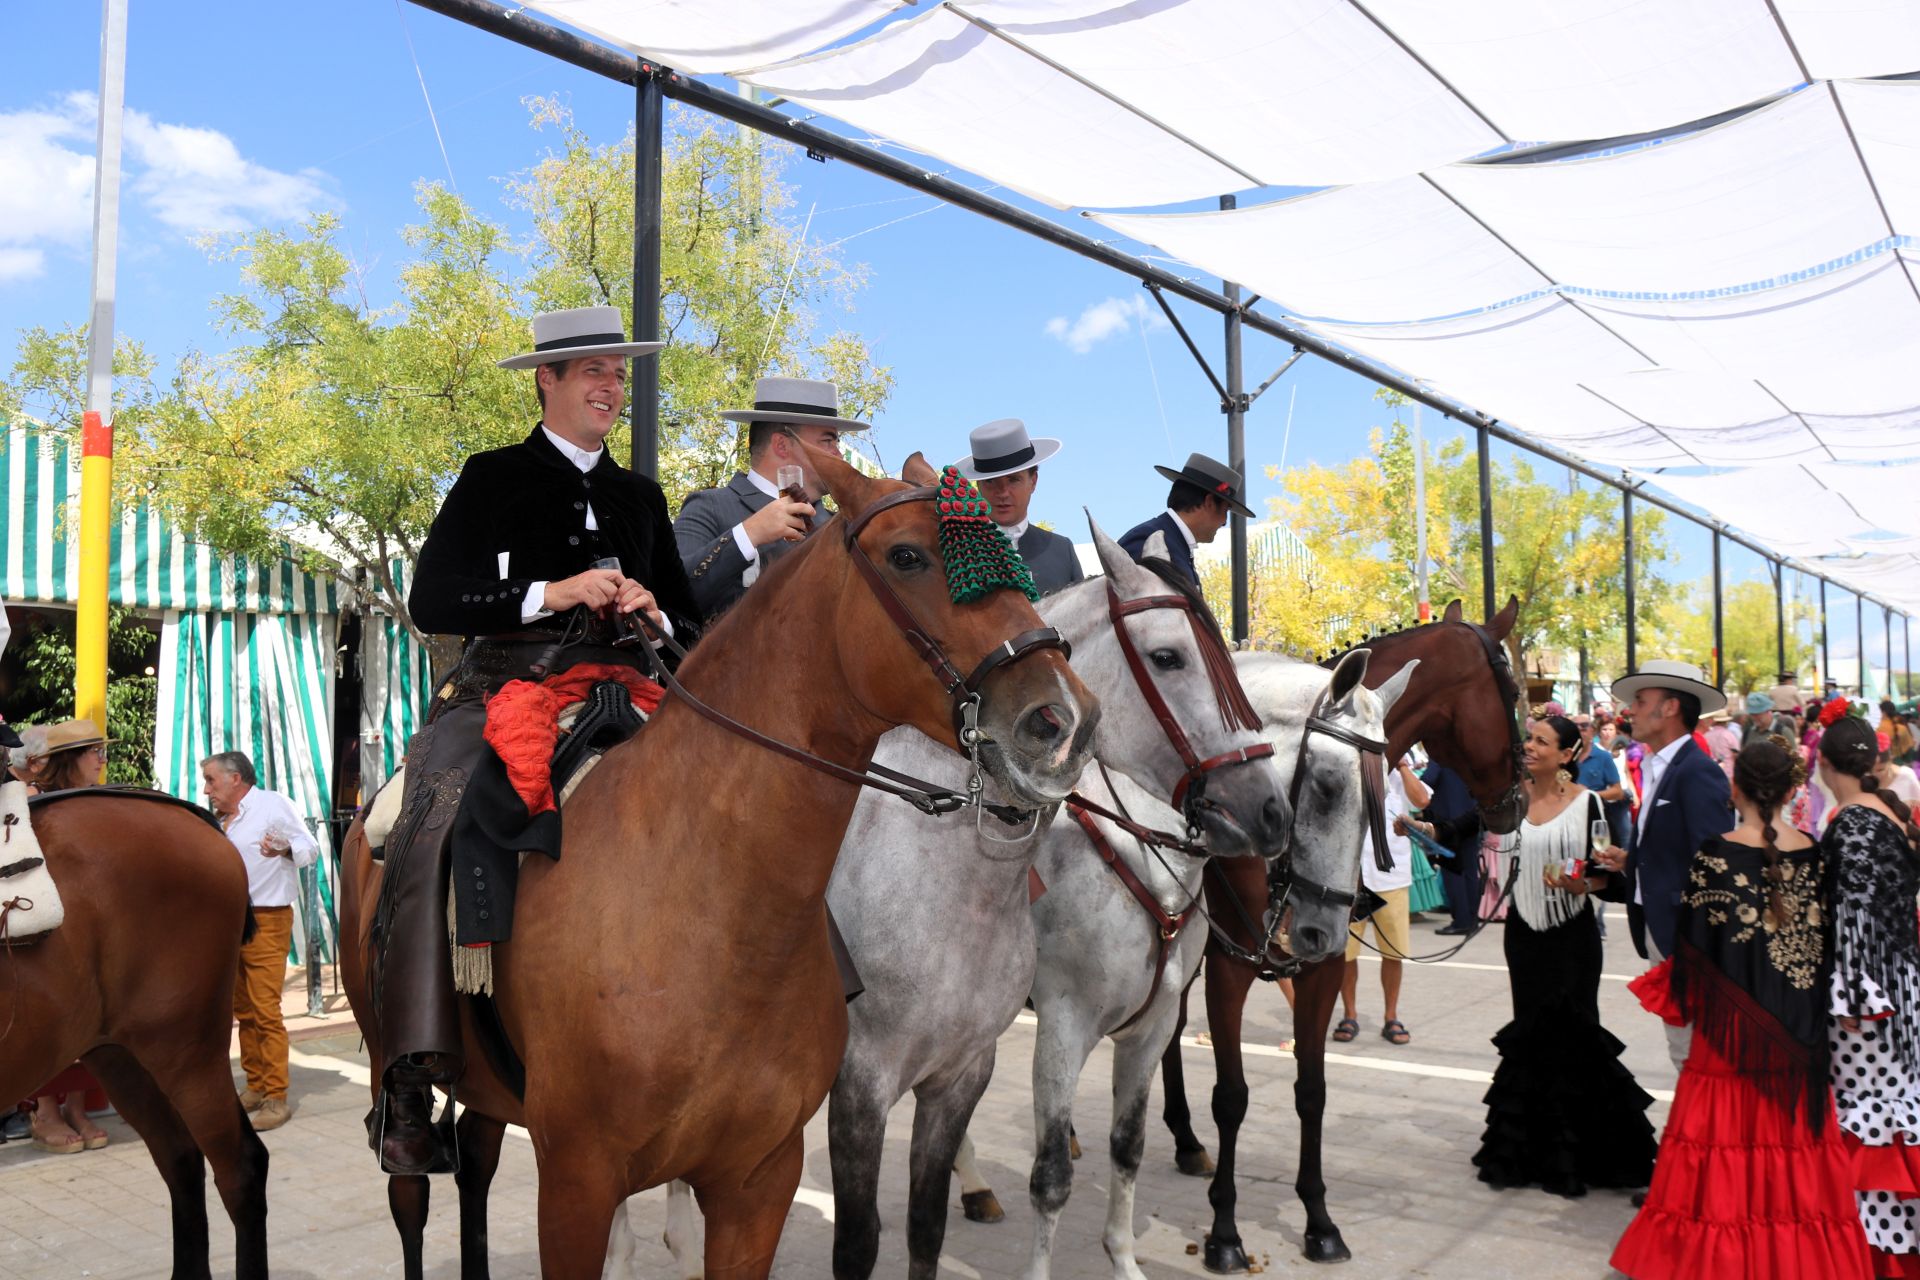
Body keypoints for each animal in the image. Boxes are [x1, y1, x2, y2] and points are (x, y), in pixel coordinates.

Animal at [343, 443, 1098, 1280]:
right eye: (907, 556)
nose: (1064, 720)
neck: (709, 908)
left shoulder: (758, 1182)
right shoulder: (577, 1181)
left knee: (476, 1165)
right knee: (412, 1198)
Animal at [1021, 652, 1413, 1280]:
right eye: (1328, 787)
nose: (1324, 933)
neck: (1136, 843)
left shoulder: (1164, 1015)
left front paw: (1320, 1225)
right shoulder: (1068, 1021)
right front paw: (1224, 1236)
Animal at [1159, 598, 1520, 1274]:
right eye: (1514, 694)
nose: (1517, 804)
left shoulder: (1320, 965)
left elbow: (1312, 1091)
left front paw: (1319, 1221)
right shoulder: (1230, 964)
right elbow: (1232, 1096)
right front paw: (1225, 1232)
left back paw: (1185, 1139)